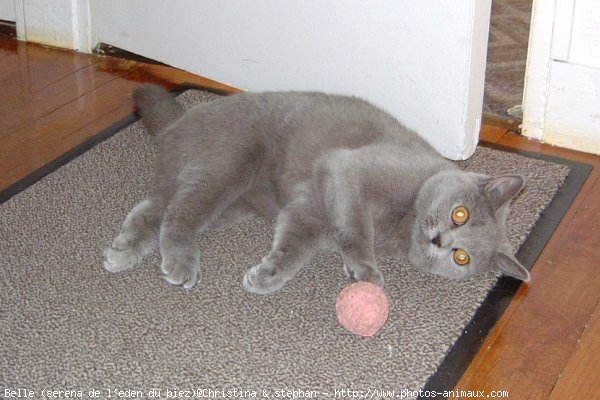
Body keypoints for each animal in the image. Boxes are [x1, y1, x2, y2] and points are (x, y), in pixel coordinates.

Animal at [103, 84, 528, 292]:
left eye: (462, 257)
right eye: (460, 213)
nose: (441, 241)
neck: (403, 223)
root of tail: (182, 119)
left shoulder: (308, 213)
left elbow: (294, 246)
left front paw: (267, 275)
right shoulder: (348, 168)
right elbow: (355, 228)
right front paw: (366, 270)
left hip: (229, 198)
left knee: (153, 208)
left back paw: (122, 252)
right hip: (227, 163)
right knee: (178, 213)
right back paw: (180, 262)